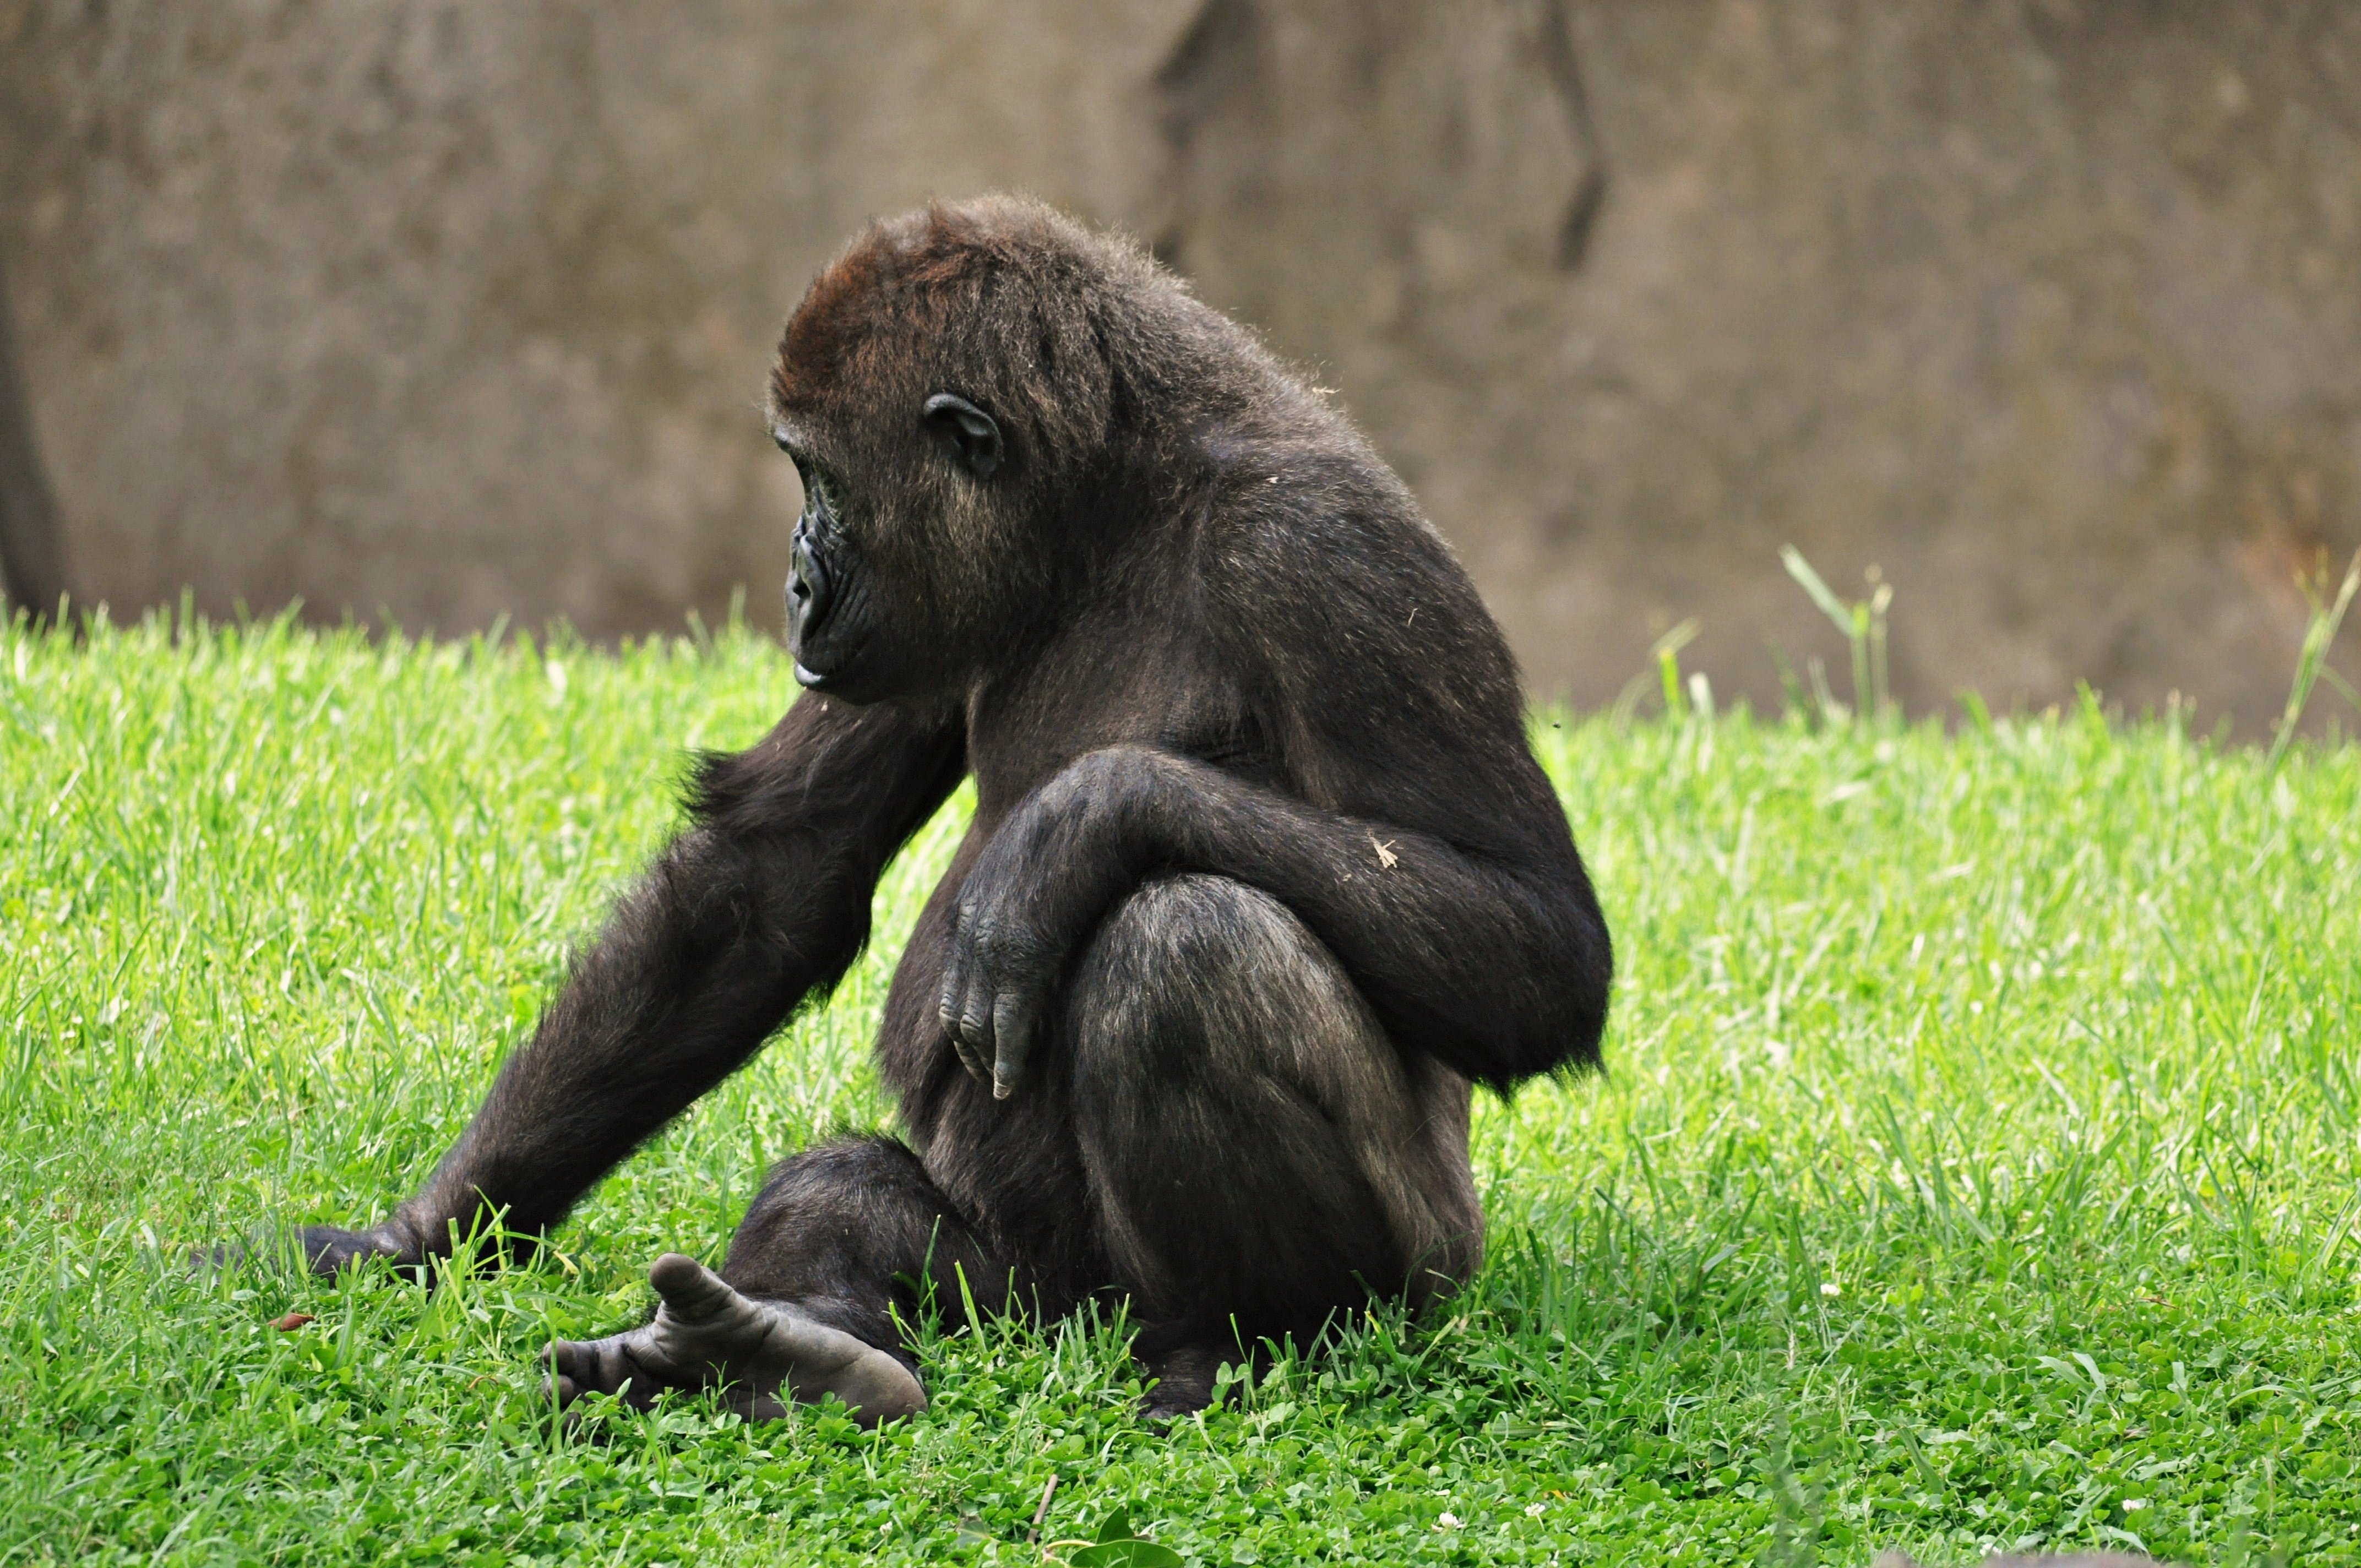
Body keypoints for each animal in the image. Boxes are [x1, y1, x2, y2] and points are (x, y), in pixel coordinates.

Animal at [278, 195, 1614, 1424]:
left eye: (817, 476)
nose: (794, 578)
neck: (1112, 494)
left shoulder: (1321, 551)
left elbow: (1534, 937)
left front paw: (1077, 823)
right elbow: (772, 870)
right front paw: (419, 1237)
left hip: (1414, 1271)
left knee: (1187, 945)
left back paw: (1240, 1342)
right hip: (1025, 1299)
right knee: (845, 1196)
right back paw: (782, 1345)